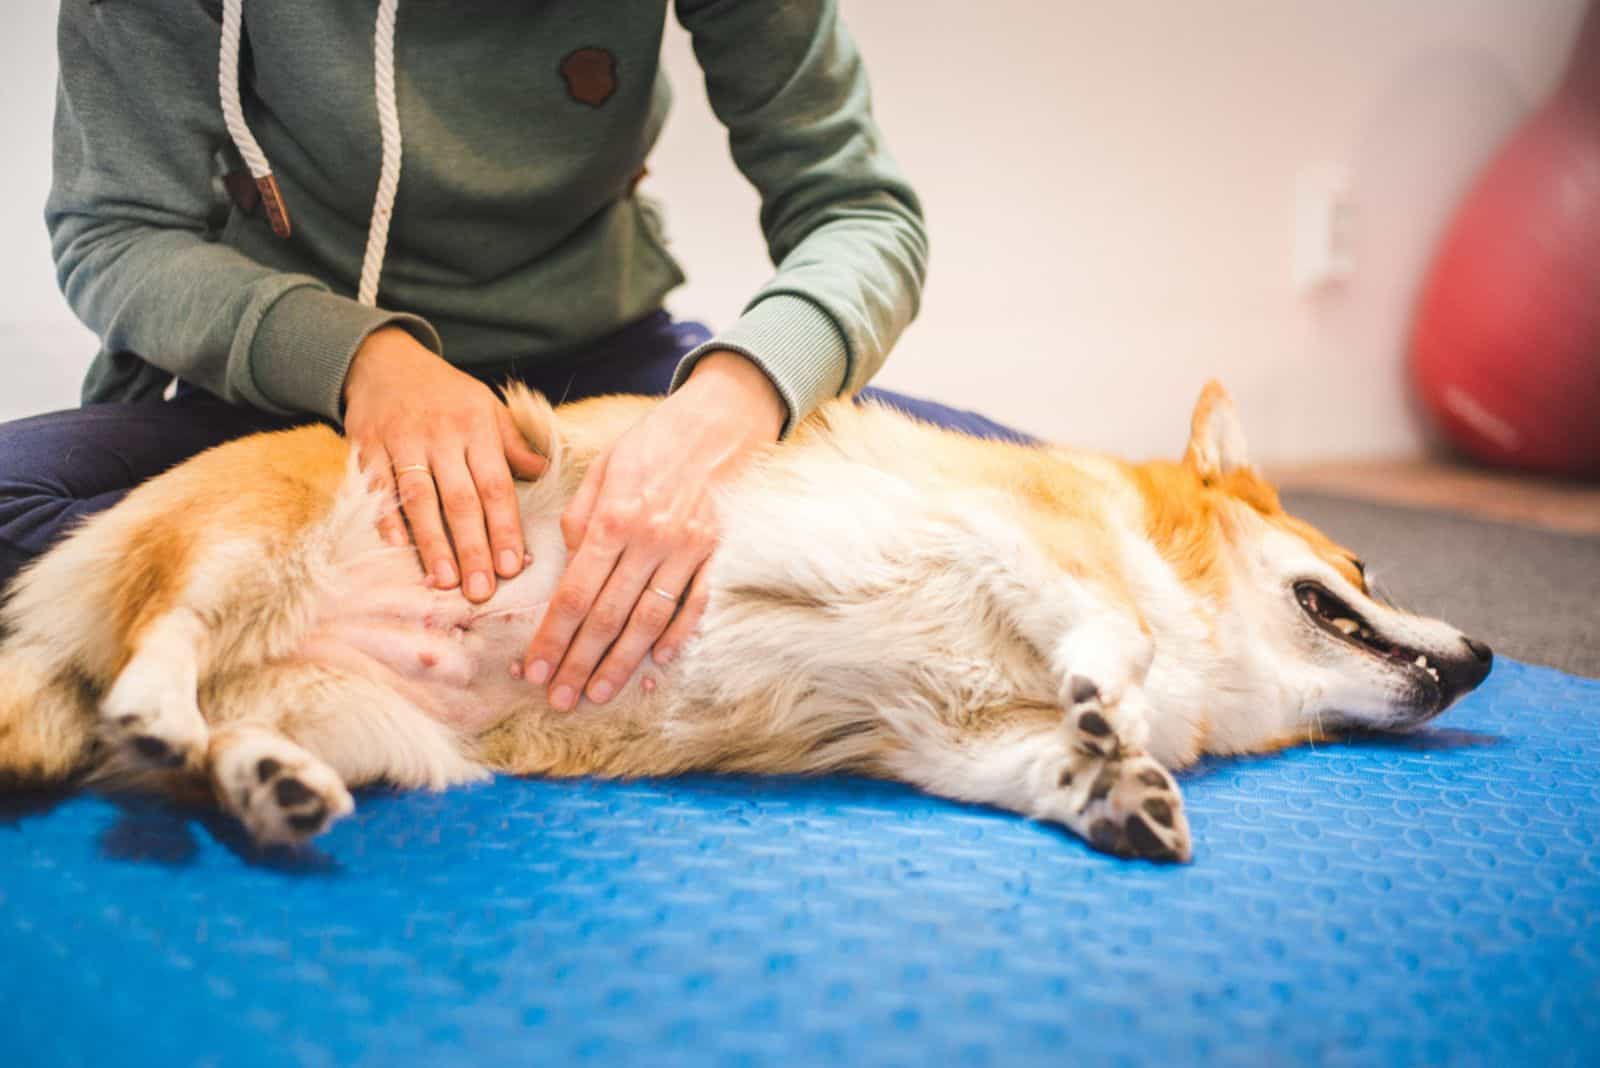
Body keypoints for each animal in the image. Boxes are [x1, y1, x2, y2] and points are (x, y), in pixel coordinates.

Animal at [0, 383, 1491, 856]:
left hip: (370, 725)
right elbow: (1102, 627)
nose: (1483, 655)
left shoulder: (946, 736)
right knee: (162, 650)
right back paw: (156, 704)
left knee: (209, 751)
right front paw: (1113, 702)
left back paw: (266, 783)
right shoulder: (1004, 533)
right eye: (1354, 560)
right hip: (244, 541)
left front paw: (1116, 791)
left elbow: (1047, 764)